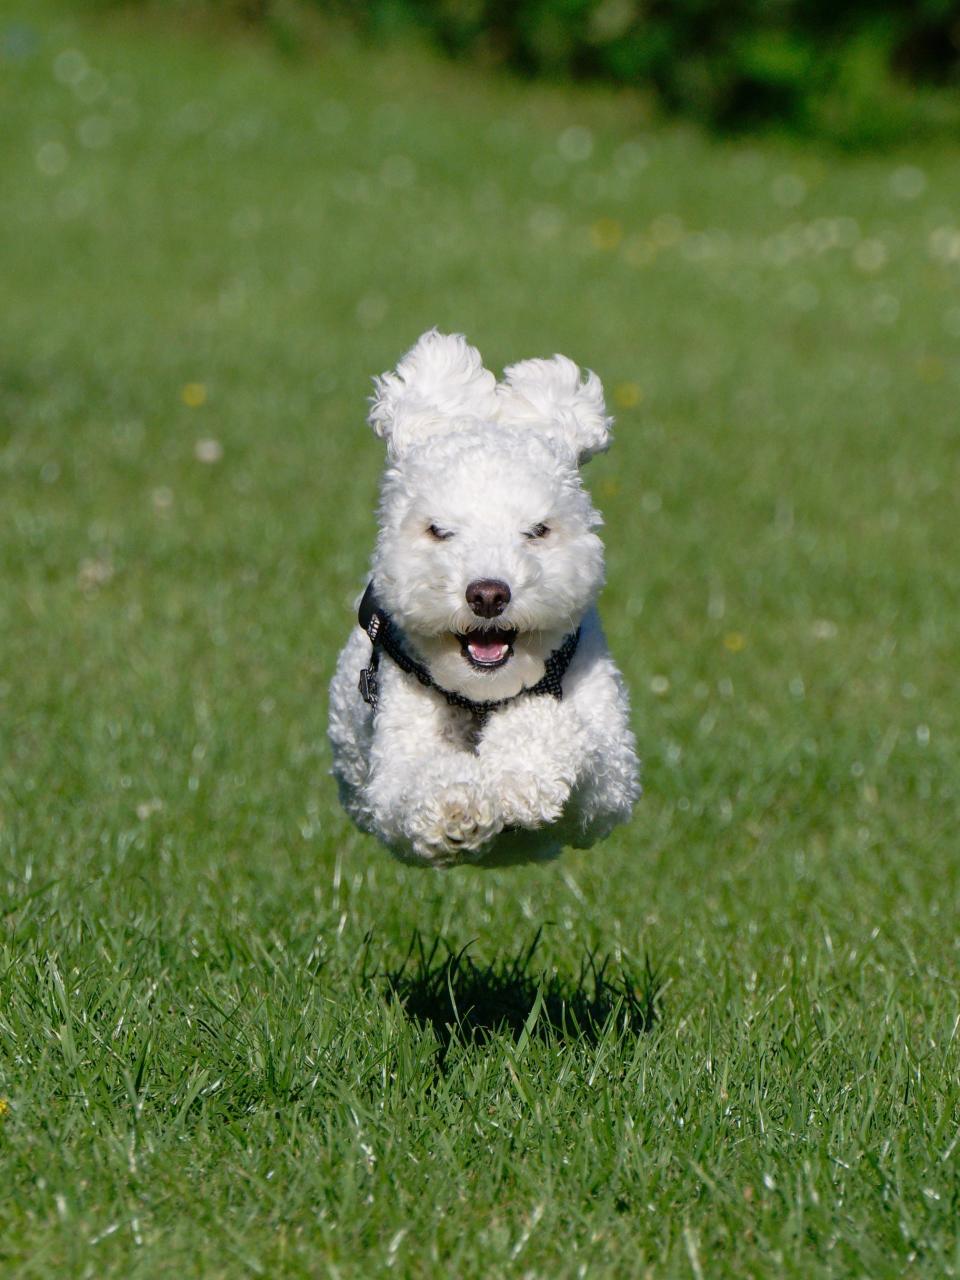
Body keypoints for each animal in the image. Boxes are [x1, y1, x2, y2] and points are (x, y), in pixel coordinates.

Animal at [327, 330, 642, 870]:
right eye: (438, 530)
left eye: (537, 530)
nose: (489, 594)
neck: (482, 697)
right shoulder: (391, 773)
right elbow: (419, 782)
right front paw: (457, 808)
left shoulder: (612, 779)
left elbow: (557, 730)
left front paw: (521, 777)